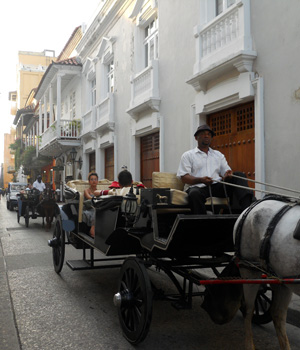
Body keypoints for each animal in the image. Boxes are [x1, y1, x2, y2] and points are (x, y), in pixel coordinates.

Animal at [233, 197, 300, 350]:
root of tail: (253, 205)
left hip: (281, 279)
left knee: (277, 313)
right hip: (249, 270)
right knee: (249, 309)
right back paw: (249, 345)